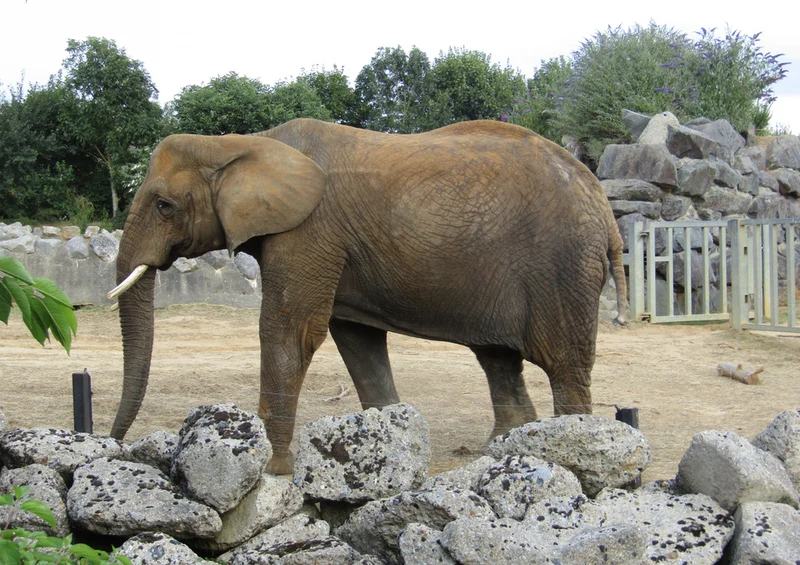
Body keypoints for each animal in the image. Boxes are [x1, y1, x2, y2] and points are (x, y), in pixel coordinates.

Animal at [108, 118, 627, 474]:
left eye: (163, 205)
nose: (114, 446)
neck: (241, 142)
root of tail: (602, 204)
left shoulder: (309, 230)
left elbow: (290, 330)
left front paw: (271, 470)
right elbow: (356, 340)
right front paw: (386, 448)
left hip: (562, 267)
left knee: (564, 366)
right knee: (498, 359)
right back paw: (499, 453)